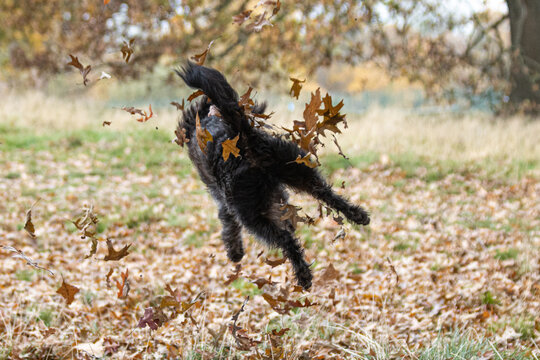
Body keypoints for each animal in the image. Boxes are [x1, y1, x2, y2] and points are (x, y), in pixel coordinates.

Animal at [175, 60, 370, 288]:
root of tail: (245, 141)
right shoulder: (277, 194)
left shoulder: (224, 203)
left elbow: (228, 225)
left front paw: (234, 252)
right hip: (297, 169)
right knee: (328, 195)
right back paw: (358, 215)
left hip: (251, 213)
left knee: (285, 239)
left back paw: (303, 275)